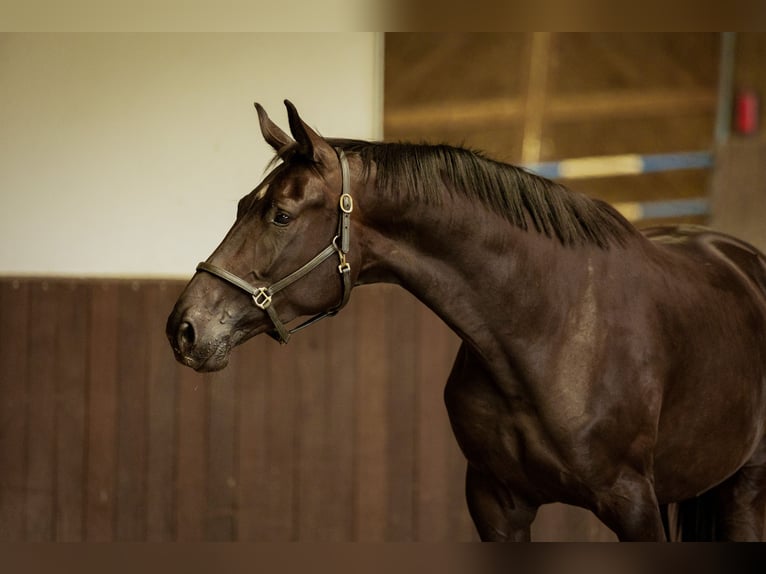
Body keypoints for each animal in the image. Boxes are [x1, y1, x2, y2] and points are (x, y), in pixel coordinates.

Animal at [166, 100, 766, 544]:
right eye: (242, 205)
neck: (550, 328)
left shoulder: (633, 504)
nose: (184, 328)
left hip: (746, 489)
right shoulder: (495, 504)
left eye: (281, 215)